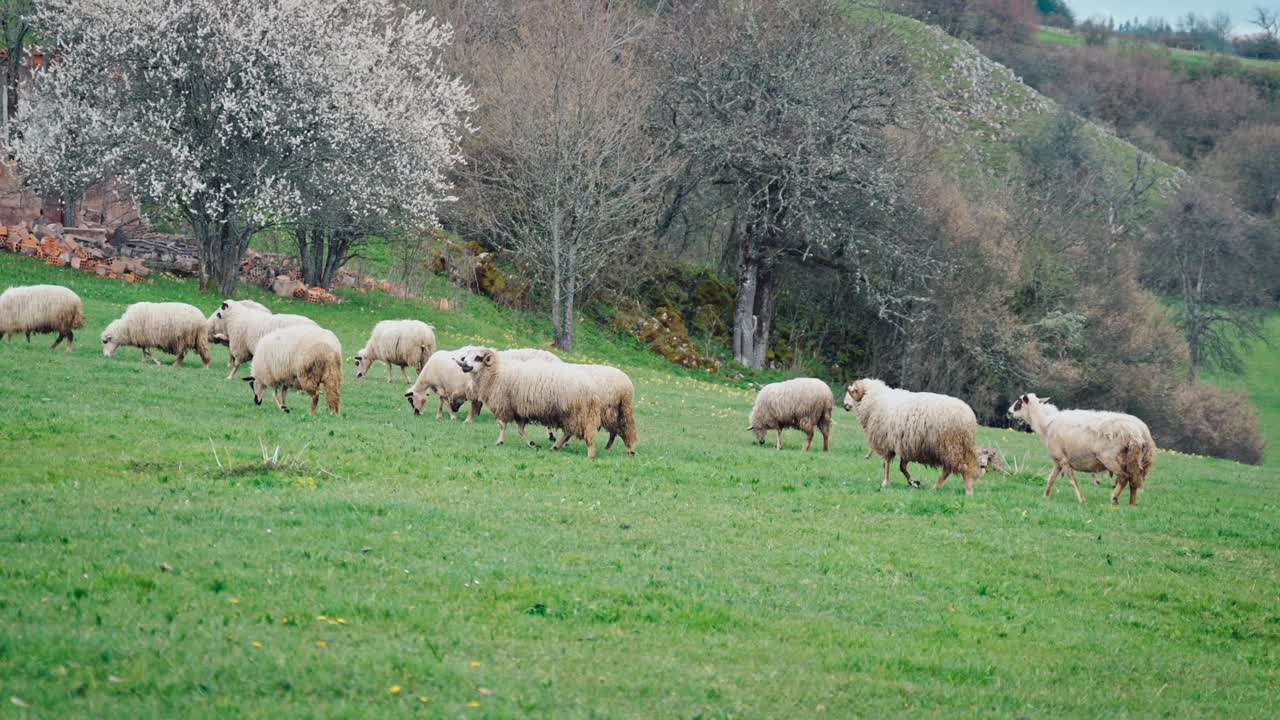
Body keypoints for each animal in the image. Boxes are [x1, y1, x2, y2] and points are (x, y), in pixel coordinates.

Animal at [458, 348, 622, 458]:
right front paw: (532, 444)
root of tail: (592, 389)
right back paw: (556, 446)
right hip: (571, 414)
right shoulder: (519, 410)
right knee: (569, 432)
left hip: (576, 412)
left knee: (577, 432)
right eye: (467, 357)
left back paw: (582, 451)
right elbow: (520, 429)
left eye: (478, 358)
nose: (464, 365)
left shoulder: (505, 405)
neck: (496, 373)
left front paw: (500, 442)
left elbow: (502, 425)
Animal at [839, 376, 977, 491]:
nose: (845, 405)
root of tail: (970, 418)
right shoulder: (905, 444)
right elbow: (902, 467)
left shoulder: (886, 442)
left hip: (950, 446)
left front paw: (885, 483)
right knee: (952, 468)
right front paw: (914, 482)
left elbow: (886, 464)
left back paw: (964, 490)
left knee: (957, 468)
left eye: (853, 392)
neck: (875, 400)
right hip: (956, 447)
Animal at [1003, 392, 1157, 504]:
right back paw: (1131, 504)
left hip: (1110, 457)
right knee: (1134, 480)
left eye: (1018, 403)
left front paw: (1082, 500)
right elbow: (1051, 479)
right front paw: (1045, 496)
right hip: (1133, 459)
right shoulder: (1058, 460)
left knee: (1124, 477)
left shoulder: (1063, 459)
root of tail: (1140, 432)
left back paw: (1114, 499)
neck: (1046, 423)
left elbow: (1072, 480)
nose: (1008, 412)